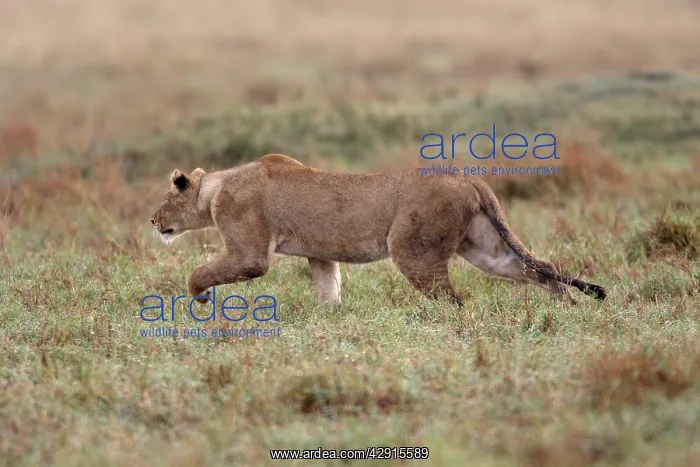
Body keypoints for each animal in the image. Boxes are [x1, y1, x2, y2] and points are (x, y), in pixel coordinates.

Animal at [150, 153, 607, 307]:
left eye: (166, 196)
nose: (153, 222)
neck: (215, 189)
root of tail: (467, 179)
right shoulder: (320, 253)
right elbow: (328, 289)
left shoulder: (250, 255)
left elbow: (202, 272)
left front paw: (201, 301)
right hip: (486, 248)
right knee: (541, 267)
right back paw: (567, 309)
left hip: (411, 249)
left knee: (455, 300)